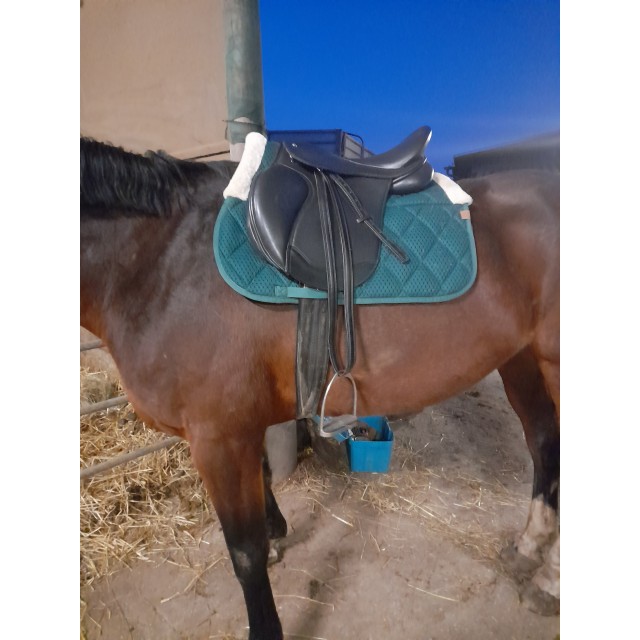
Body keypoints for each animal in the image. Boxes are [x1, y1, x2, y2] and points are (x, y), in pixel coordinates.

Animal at [80, 135, 560, 640]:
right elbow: (262, 482)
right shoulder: (237, 427)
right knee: (544, 443)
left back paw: (549, 583)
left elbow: (244, 551)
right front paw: (276, 533)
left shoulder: (216, 437)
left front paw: (266, 625)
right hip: (522, 361)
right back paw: (528, 547)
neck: (164, 266)